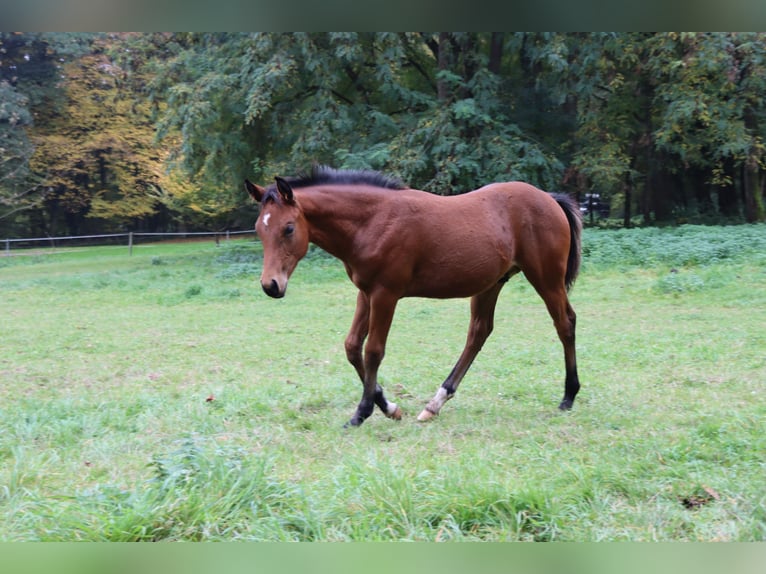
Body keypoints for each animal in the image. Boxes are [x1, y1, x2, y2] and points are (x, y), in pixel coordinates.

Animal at [245, 166, 582, 428]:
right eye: (259, 229)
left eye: (289, 228)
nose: (271, 285)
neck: (372, 221)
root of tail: (549, 198)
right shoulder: (365, 293)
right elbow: (352, 347)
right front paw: (389, 407)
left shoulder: (386, 294)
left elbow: (374, 351)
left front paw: (362, 413)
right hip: (491, 285)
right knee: (479, 332)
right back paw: (435, 404)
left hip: (546, 278)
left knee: (565, 323)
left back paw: (568, 396)